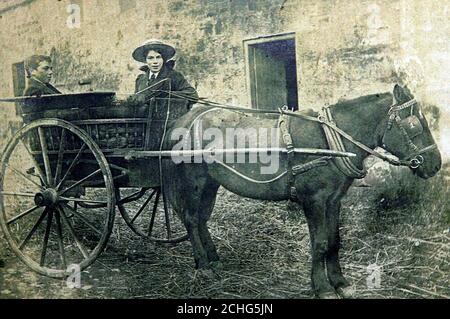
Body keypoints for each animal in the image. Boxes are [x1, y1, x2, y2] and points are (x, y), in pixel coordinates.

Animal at [160, 84, 442, 298]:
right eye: (415, 125)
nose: (436, 164)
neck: (328, 141)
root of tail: (183, 120)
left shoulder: (333, 201)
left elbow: (334, 241)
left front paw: (341, 283)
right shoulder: (313, 200)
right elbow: (319, 243)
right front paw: (323, 288)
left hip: (211, 183)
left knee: (202, 220)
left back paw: (214, 259)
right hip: (193, 182)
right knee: (191, 220)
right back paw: (203, 265)